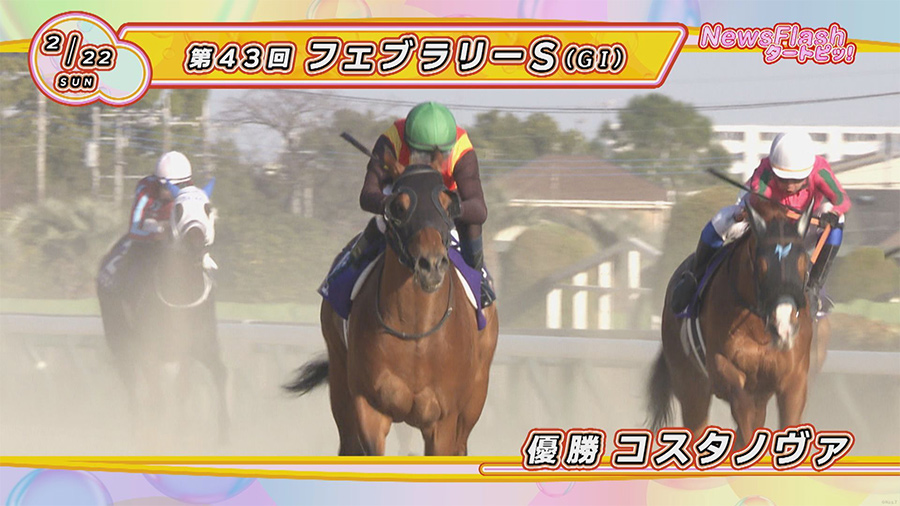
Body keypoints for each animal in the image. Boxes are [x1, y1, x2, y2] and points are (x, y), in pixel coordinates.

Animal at [97, 183, 229, 452]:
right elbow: (158, 397)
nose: (195, 240)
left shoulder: (196, 345)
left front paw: (219, 437)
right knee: (134, 388)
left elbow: (196, 384)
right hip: (120, 342)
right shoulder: (148, 349)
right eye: (178, 209)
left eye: (207, 207)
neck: (180, 297)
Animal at [285, 151, 499, 456]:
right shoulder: (369, 407)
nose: (431, 264)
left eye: (447, 205)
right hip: (340, 378)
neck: (416, 333)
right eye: (399, 206)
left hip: (474, 398)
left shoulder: (443, 420)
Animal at [648, 197, 817, 448]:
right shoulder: (726, 373)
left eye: (803, 261)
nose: (784, 327)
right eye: (761, 265)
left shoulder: (792, 380)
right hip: (690, 384)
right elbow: (744, 419)